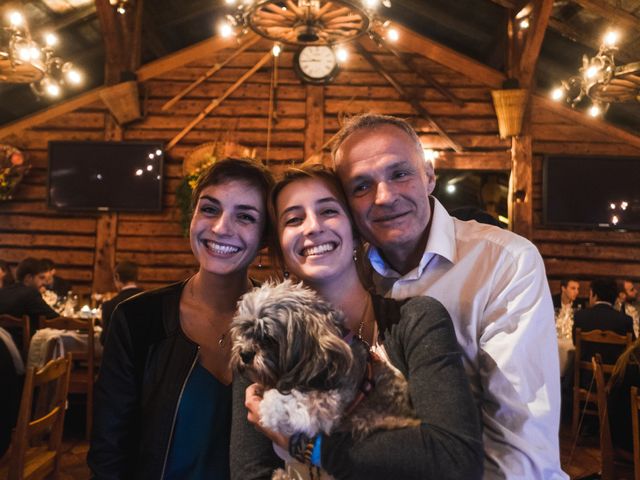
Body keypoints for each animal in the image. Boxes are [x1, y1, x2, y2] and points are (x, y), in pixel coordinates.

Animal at [230, 280, 420, 444]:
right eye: (244, 332)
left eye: (269, 338)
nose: (245, 354)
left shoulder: (328, 404)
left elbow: (296, 404)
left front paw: (270, 405)